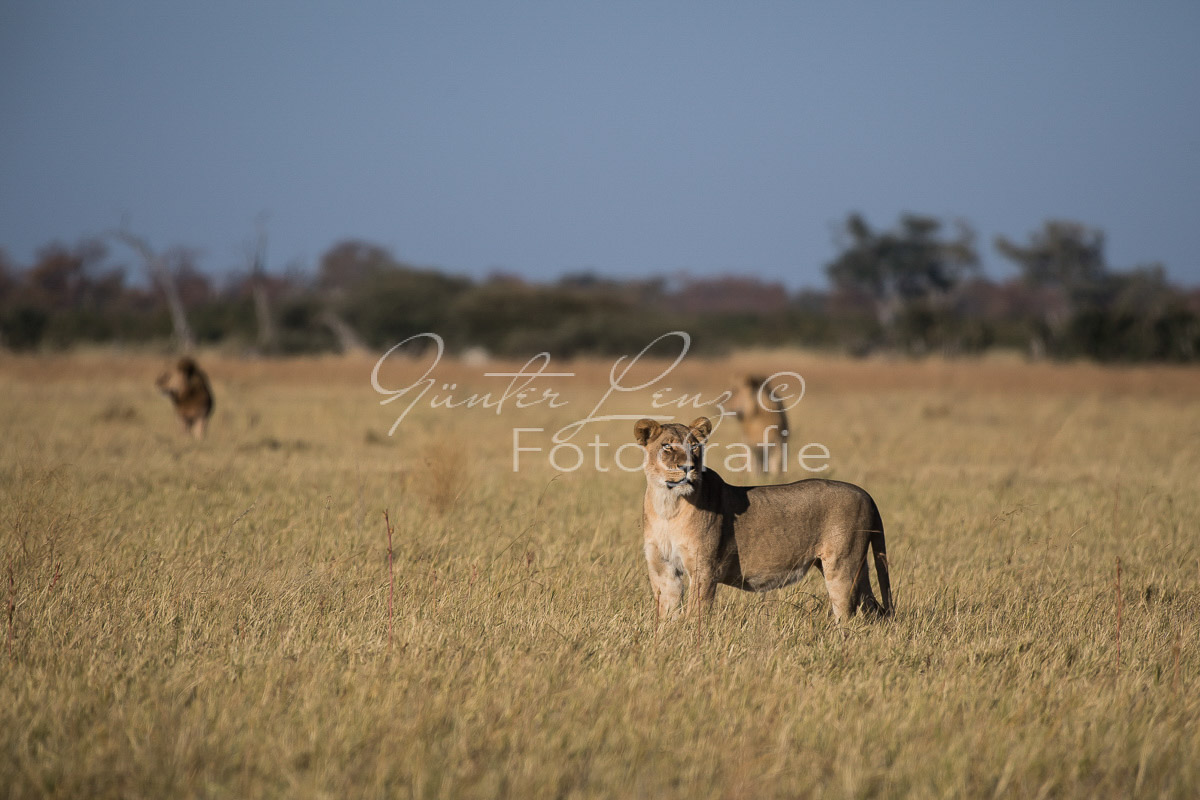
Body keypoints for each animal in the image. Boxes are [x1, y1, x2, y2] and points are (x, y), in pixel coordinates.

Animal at [638, 417, 892, 628]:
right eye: (667, 446)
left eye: (694, 448)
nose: (688, 468)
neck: (669, 506)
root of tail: (865, 494)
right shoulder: (663, 568)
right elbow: (667, 613)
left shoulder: (705, 569)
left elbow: (695, 612)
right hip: (856, 568)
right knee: (873, 609)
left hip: (842, 565)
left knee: (846, 613)